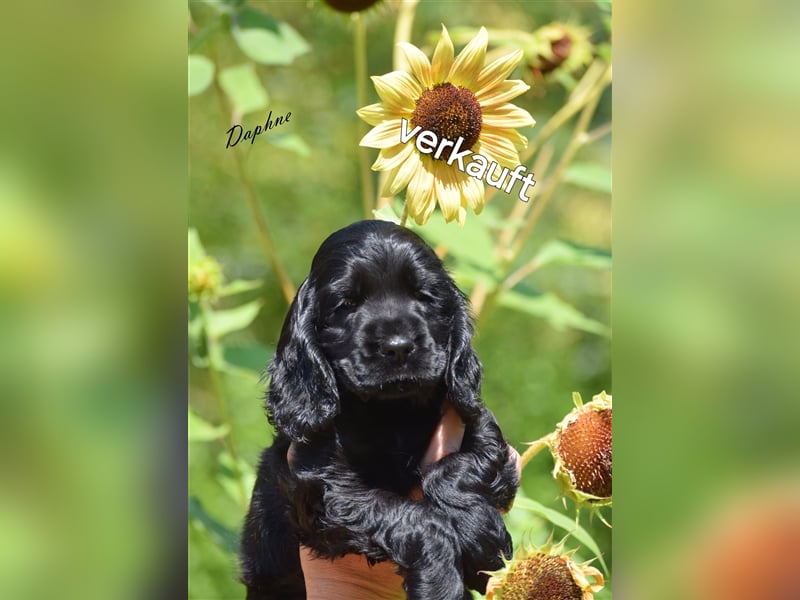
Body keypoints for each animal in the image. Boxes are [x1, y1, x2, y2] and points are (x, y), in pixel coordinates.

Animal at [239, 220, 520, 600]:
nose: (398, 347)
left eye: (424, 296)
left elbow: (455, 470)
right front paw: (440, 581)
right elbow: (413, 519)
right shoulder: (323, 488)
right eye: (347, 303)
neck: (391, 413)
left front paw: (482, 535)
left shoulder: (481, 429)